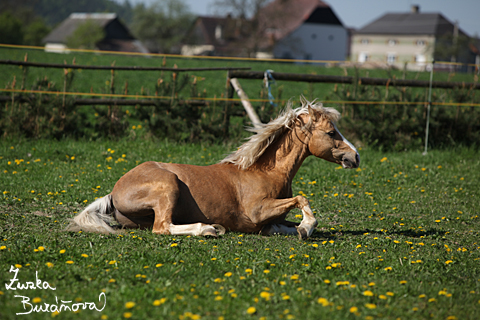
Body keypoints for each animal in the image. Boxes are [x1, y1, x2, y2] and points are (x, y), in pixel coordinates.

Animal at [68, 96, 360, 239]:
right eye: (332, 132)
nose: (355, 157)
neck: (265, 172)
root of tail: (114, 192)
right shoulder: (257, 211)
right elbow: (302, 199)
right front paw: (306, 227)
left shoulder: (267, 221)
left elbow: (285, 224)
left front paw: (301, 229)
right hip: (168, 186)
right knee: (162, 227)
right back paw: (209, 229)